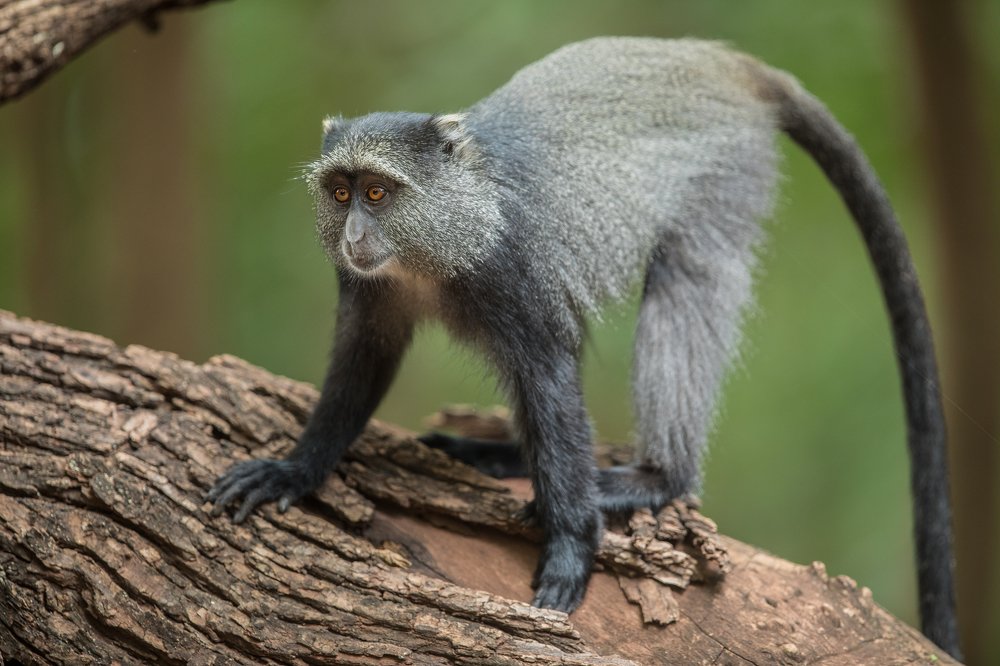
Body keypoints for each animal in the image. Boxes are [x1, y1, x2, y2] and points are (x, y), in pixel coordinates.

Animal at [207, 37, 960, 657]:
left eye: (378, 192)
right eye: (340, 193)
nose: (356, 235)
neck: (446, 236)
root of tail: (715, 60)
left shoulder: (516, 276)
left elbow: (549, 376)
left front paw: (571, 547)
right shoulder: (368, 291)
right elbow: (363, 358)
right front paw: (297, 469)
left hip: (725, 172)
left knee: (685, 281)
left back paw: (656, 477)